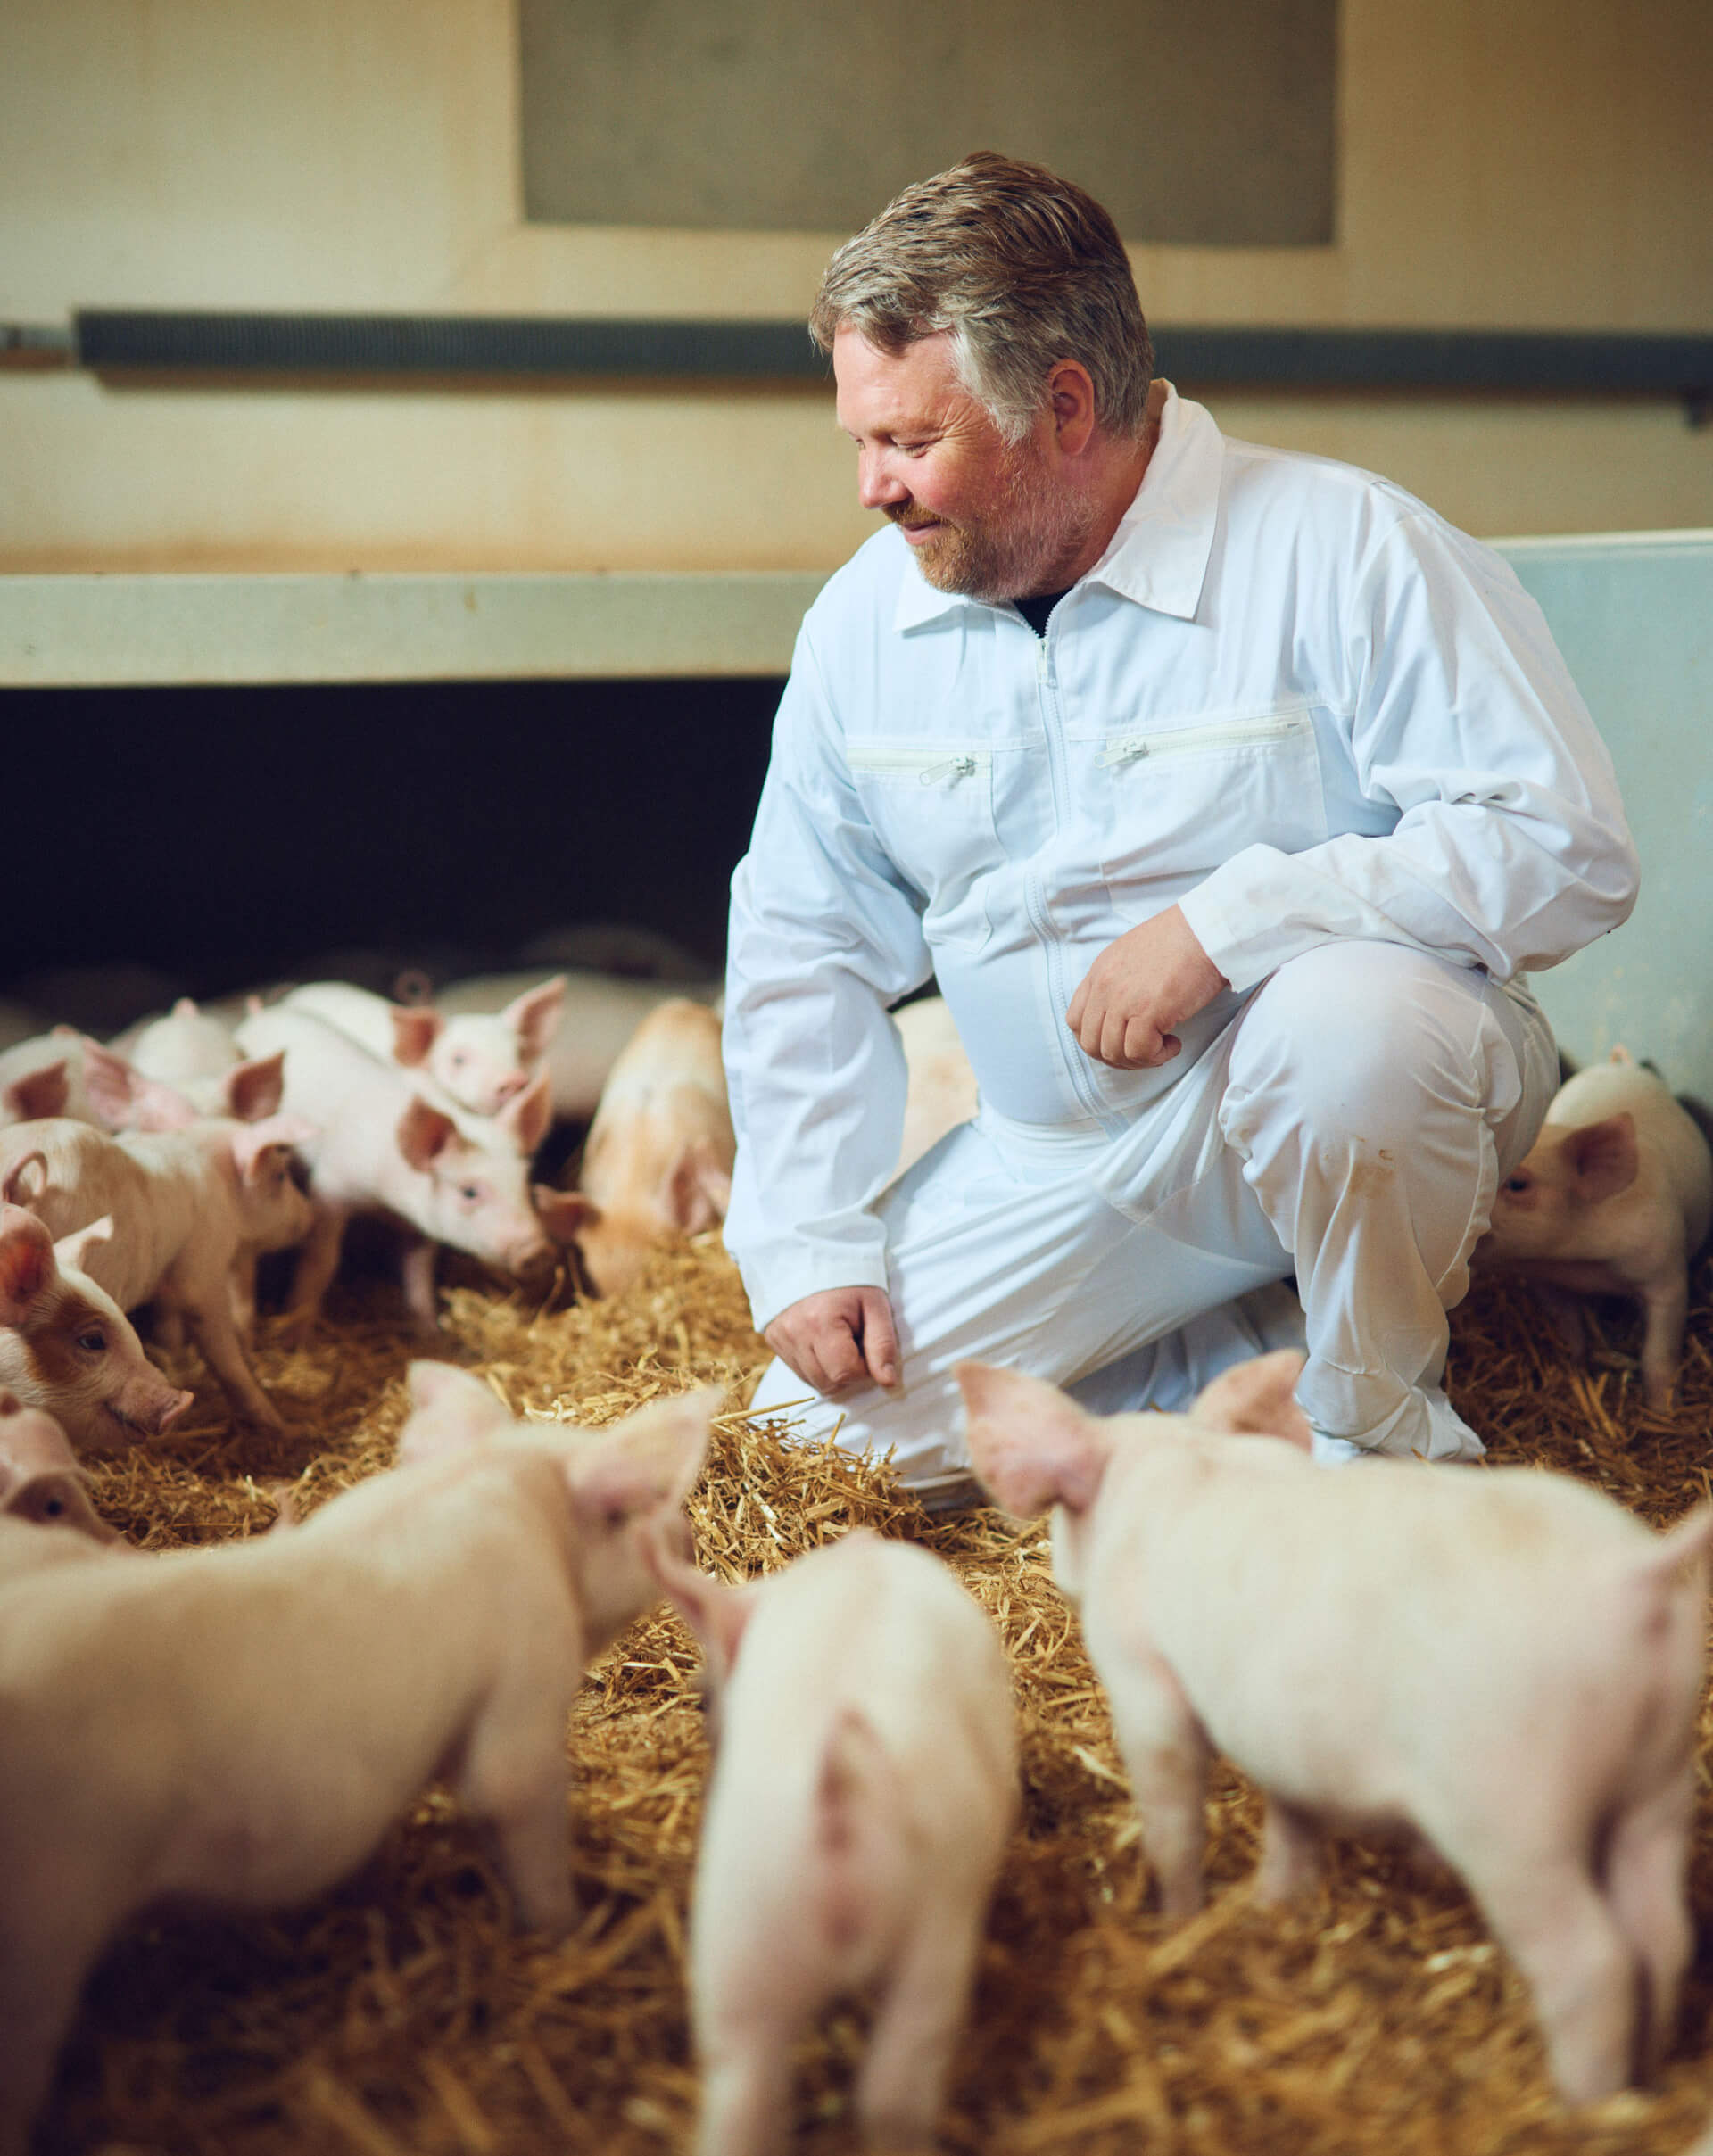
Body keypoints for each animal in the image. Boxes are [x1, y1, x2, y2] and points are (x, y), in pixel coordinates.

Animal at [234, 1001, 585, 1332]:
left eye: (524, 1184)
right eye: (470, 1192)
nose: (538, 1250)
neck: (387, 1204)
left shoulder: (421, 1227)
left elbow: (419, 1273)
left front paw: (429, 1331)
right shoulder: (330, 1189)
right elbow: (321, 1259)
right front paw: (298, 1328)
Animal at [957, 1348, 1713, 2107]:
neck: (1179, 1458)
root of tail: (1629, 1577)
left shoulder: (1143, 1675)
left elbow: (1173, 1810)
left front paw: (1178, 1921)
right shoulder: (1286, 1740)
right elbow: (1292, 1821)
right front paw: (1271, 1908)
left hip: (1513, 1812)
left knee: (1594, 1961)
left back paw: (1585, 2105)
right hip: (1660, 1769)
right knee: (1663, 1933)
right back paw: (1648, 2071)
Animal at [1474, 1046, 1713, 1409]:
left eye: (1517, 1184)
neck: (1582, 1263)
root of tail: (1621, 1067)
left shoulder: (1667, 1269)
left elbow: (1659, 1351)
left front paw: (1663, 1409)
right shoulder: (1545, 1280)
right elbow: (1566, 1324)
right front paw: (1574, 1362)